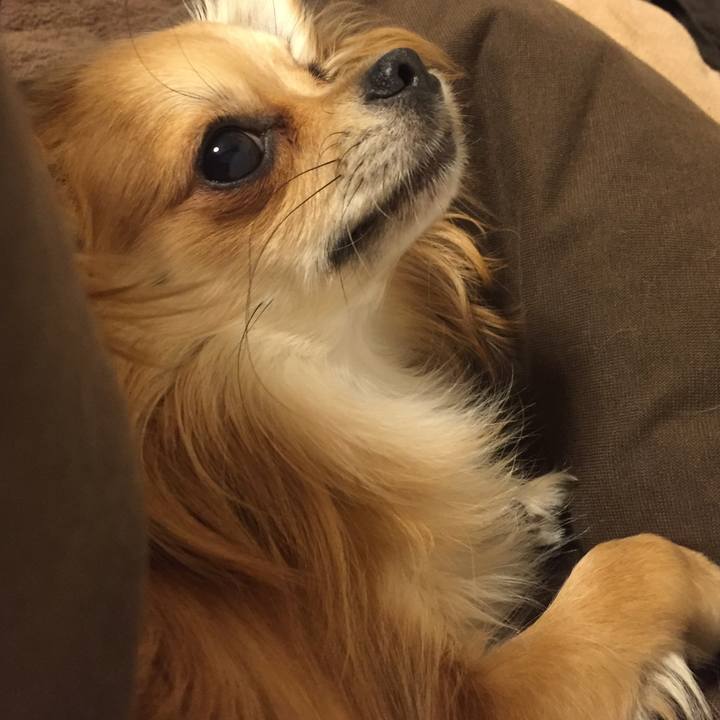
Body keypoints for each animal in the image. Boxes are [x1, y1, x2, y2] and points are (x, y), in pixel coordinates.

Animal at [25, 0, 720, 717]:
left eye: (313, 70)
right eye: (230, 152)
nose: (400, 65)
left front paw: (518, 510)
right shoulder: (452, 696)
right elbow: (633, 563)